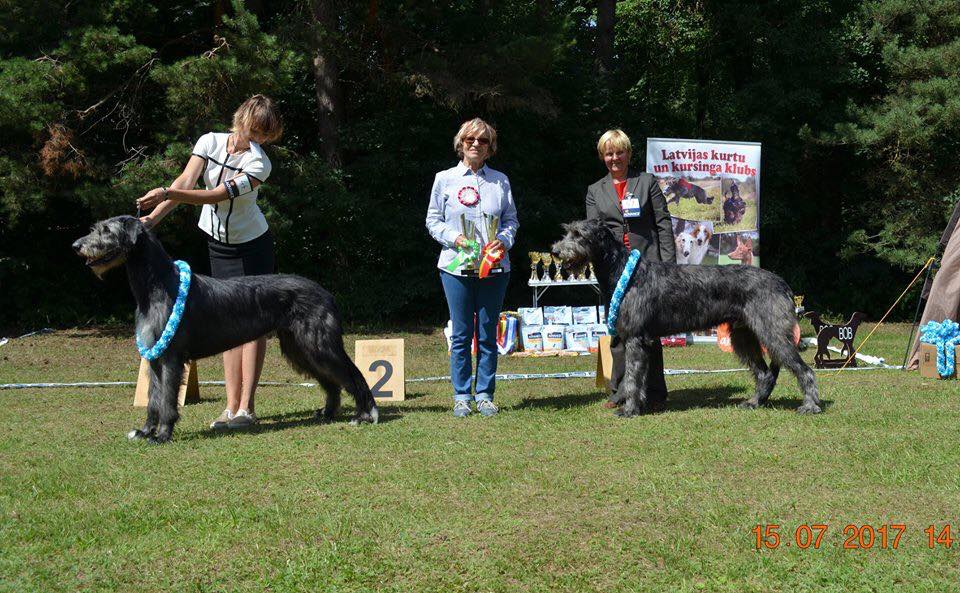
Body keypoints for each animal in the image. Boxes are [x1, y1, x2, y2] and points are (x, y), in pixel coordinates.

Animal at [73, 215, 378, 442]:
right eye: (95, 227)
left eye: (106, 230)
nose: (76, 245)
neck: (157, 285)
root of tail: (326, 293)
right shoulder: (153, 354)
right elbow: (153, 398)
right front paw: (146, 430)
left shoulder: (171, 355)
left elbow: (168, 398)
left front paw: (162, 434)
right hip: (298, 347)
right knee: (331, 382)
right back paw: (328, 413)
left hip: (317, 342)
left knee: (352, 373)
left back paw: (365, 414)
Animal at [552, 219, 820, 416]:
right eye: (567, 231)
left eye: (578, 234)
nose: (555, 251)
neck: (623, 272)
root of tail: (782, 283)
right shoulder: (641, 341)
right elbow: (638, 377)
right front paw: (637, 405)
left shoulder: (635, 339)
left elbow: (631, 377)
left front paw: (629, 409)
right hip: (743, 335)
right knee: (764, 373)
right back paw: (754, 402)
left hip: (771, 332)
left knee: (804, 369)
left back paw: (810, 405)